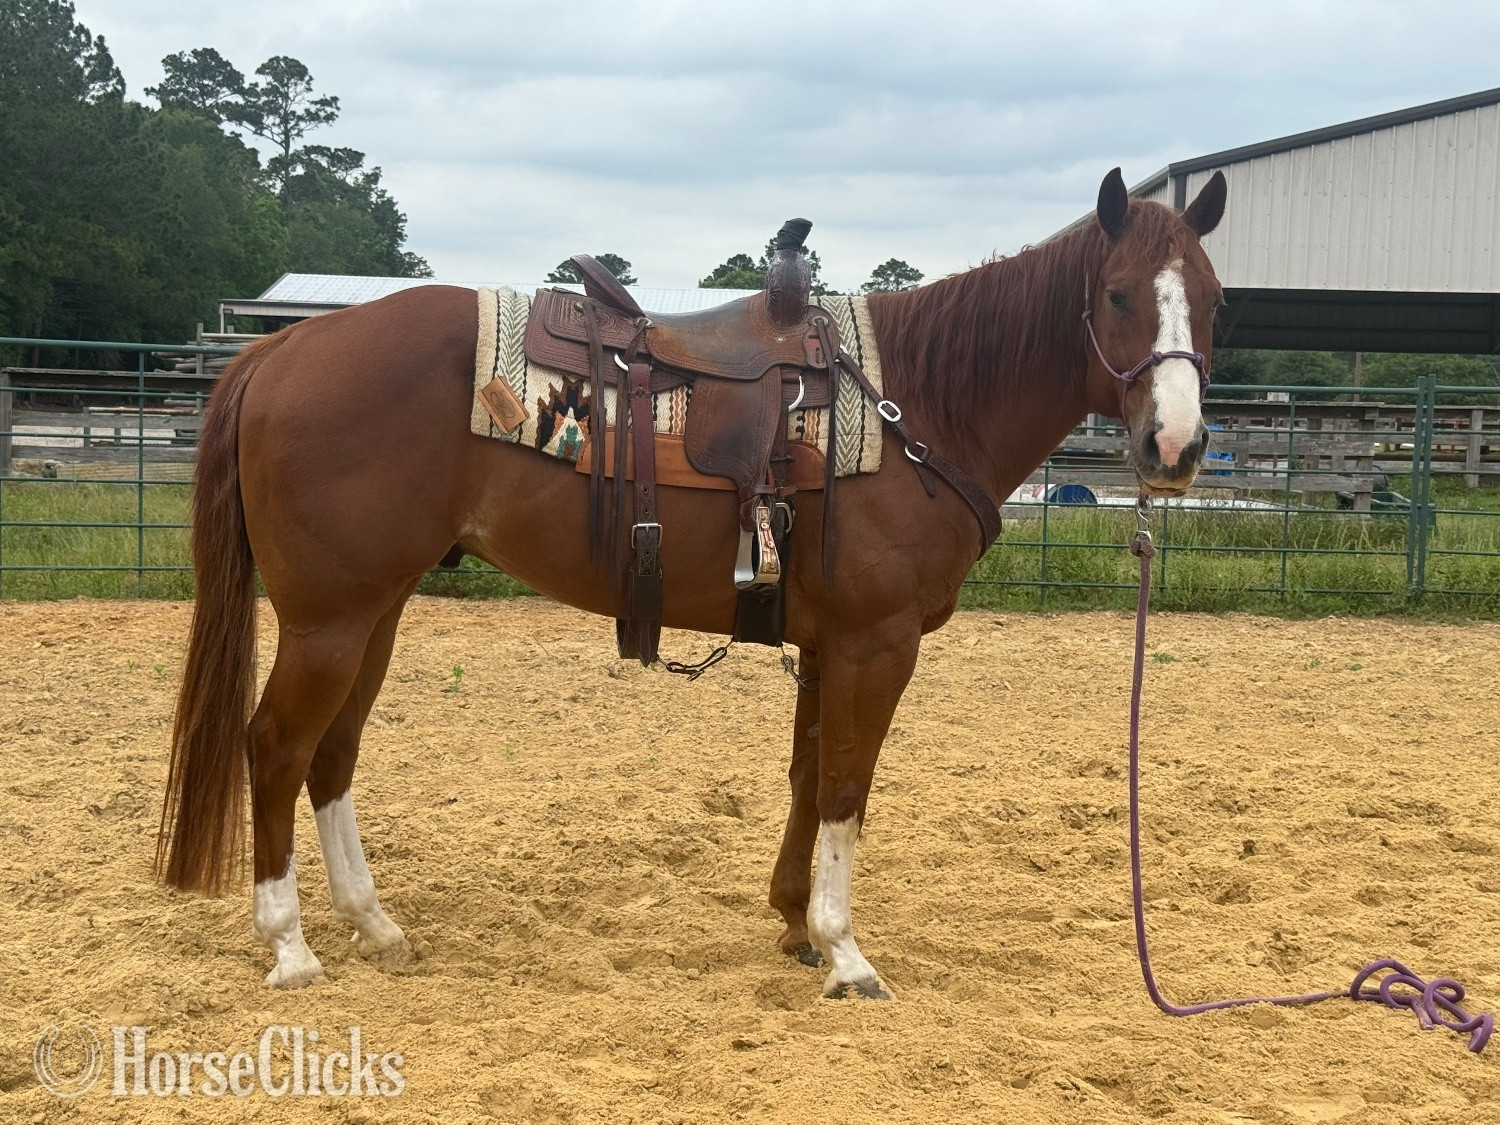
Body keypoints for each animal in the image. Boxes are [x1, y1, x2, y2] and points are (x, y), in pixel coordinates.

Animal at [157, 167, 1227, 999]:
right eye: (1119, 295)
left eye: (1216, 299)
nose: (1175, 447)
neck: (917, 405)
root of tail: (282, 347)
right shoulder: (876, 642)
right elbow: (848, 783)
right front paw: (846, 952)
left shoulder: (828, 644)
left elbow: (809, 776)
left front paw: (796, 924)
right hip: (329, 619)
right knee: (277, 747)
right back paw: (291, 947)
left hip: (374, 610)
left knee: (332, 755)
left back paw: (373, 925)